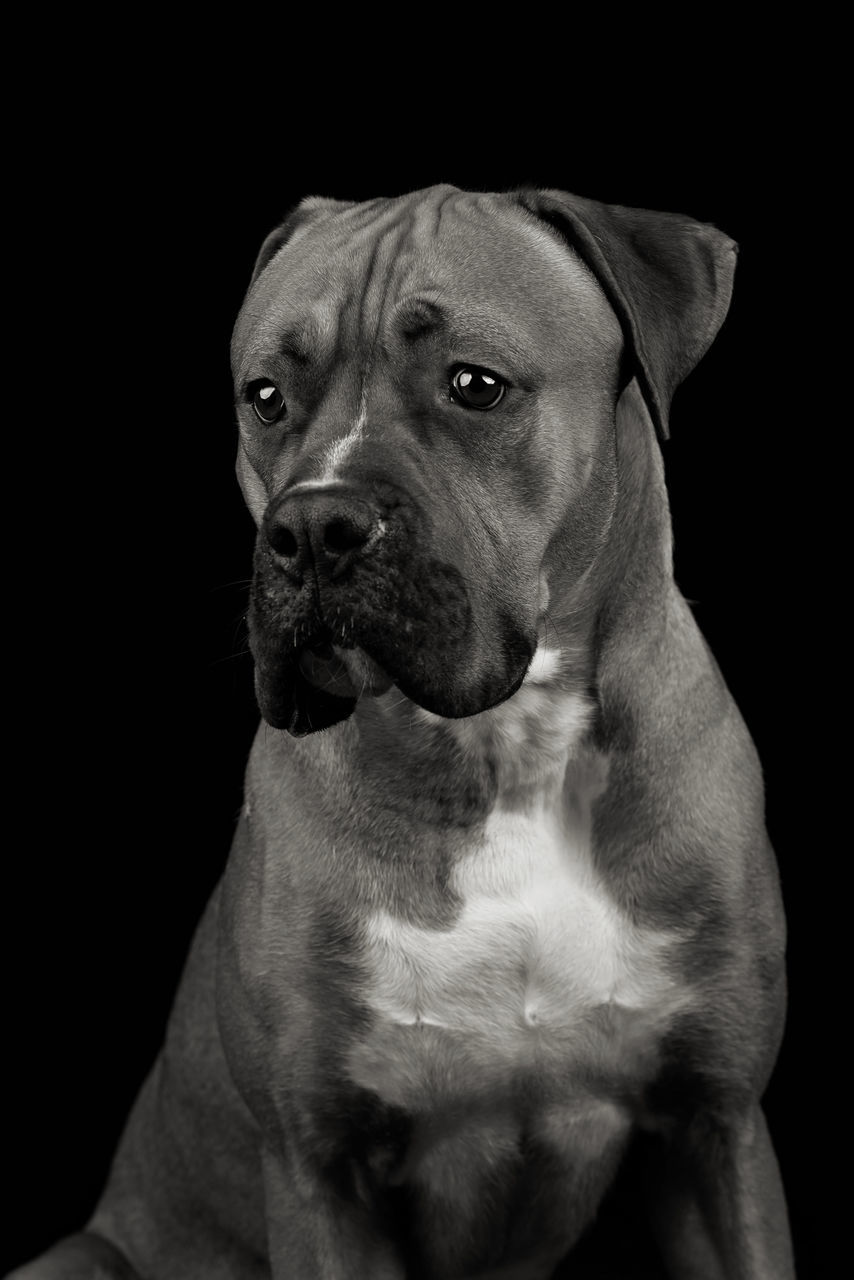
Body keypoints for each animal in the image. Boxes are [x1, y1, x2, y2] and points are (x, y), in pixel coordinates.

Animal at [11, 186, 793, 1280]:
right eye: (264, 396)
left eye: (475, 385)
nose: (312, 527)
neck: (503, 755)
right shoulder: (318, 1173)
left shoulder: (713, 1128)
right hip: (81, 1256)